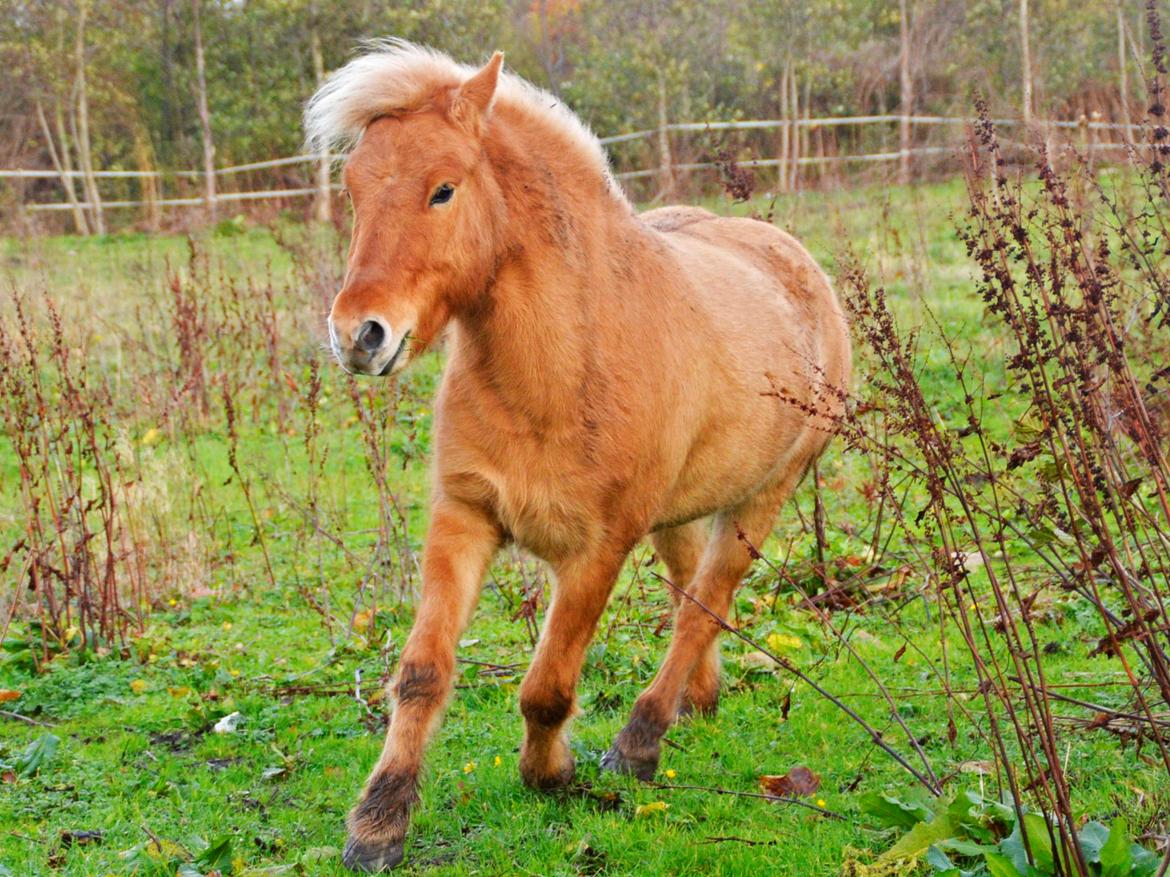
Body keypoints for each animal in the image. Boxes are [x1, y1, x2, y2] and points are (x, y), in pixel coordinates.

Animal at [301, 44, 851, 874]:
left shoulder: (598, 549)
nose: (359, 335)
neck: (562, 362)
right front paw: (380, 820)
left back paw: (641, 740)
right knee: (691, 594)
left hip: (763, 498)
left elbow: (548, 686)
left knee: (706, 601)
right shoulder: (463, 517)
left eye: (443, 189)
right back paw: (697, 699)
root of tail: (797, 260)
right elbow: (423, 673)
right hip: (681, 512)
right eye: (356, 188)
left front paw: (553, 773)